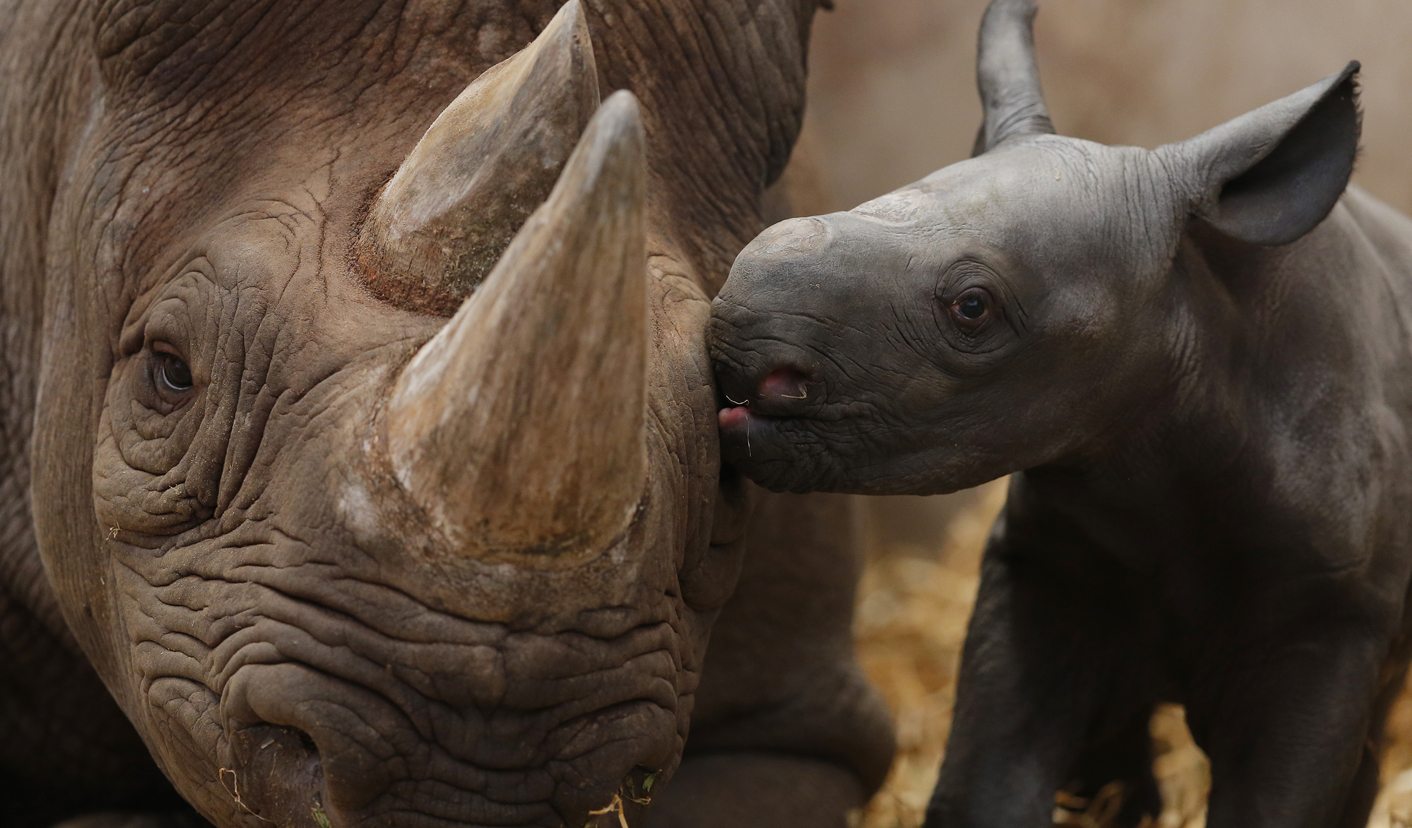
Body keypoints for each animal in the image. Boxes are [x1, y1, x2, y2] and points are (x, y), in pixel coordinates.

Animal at [711, 0, 1412, 825]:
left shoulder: (1324, 612)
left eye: (972, 308)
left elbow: (1276, 799)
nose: (731, 331)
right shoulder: (1046, 562)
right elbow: (986, 779)